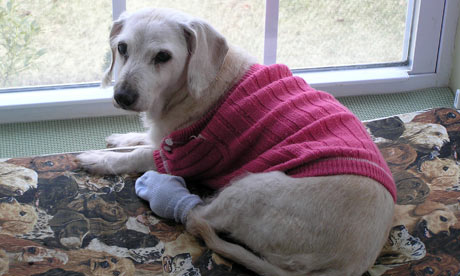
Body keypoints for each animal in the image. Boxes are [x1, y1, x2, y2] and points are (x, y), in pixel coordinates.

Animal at [76, 7, 396, 274]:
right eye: (122, 48)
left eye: (163, 57)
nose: (122, 97)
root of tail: (349, 265)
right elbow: (143, 139)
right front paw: (121, 138)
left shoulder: (183, 155)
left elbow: (137, 155)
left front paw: (99, 159)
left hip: (251, 186)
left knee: (195, 216)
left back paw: (164, 192)